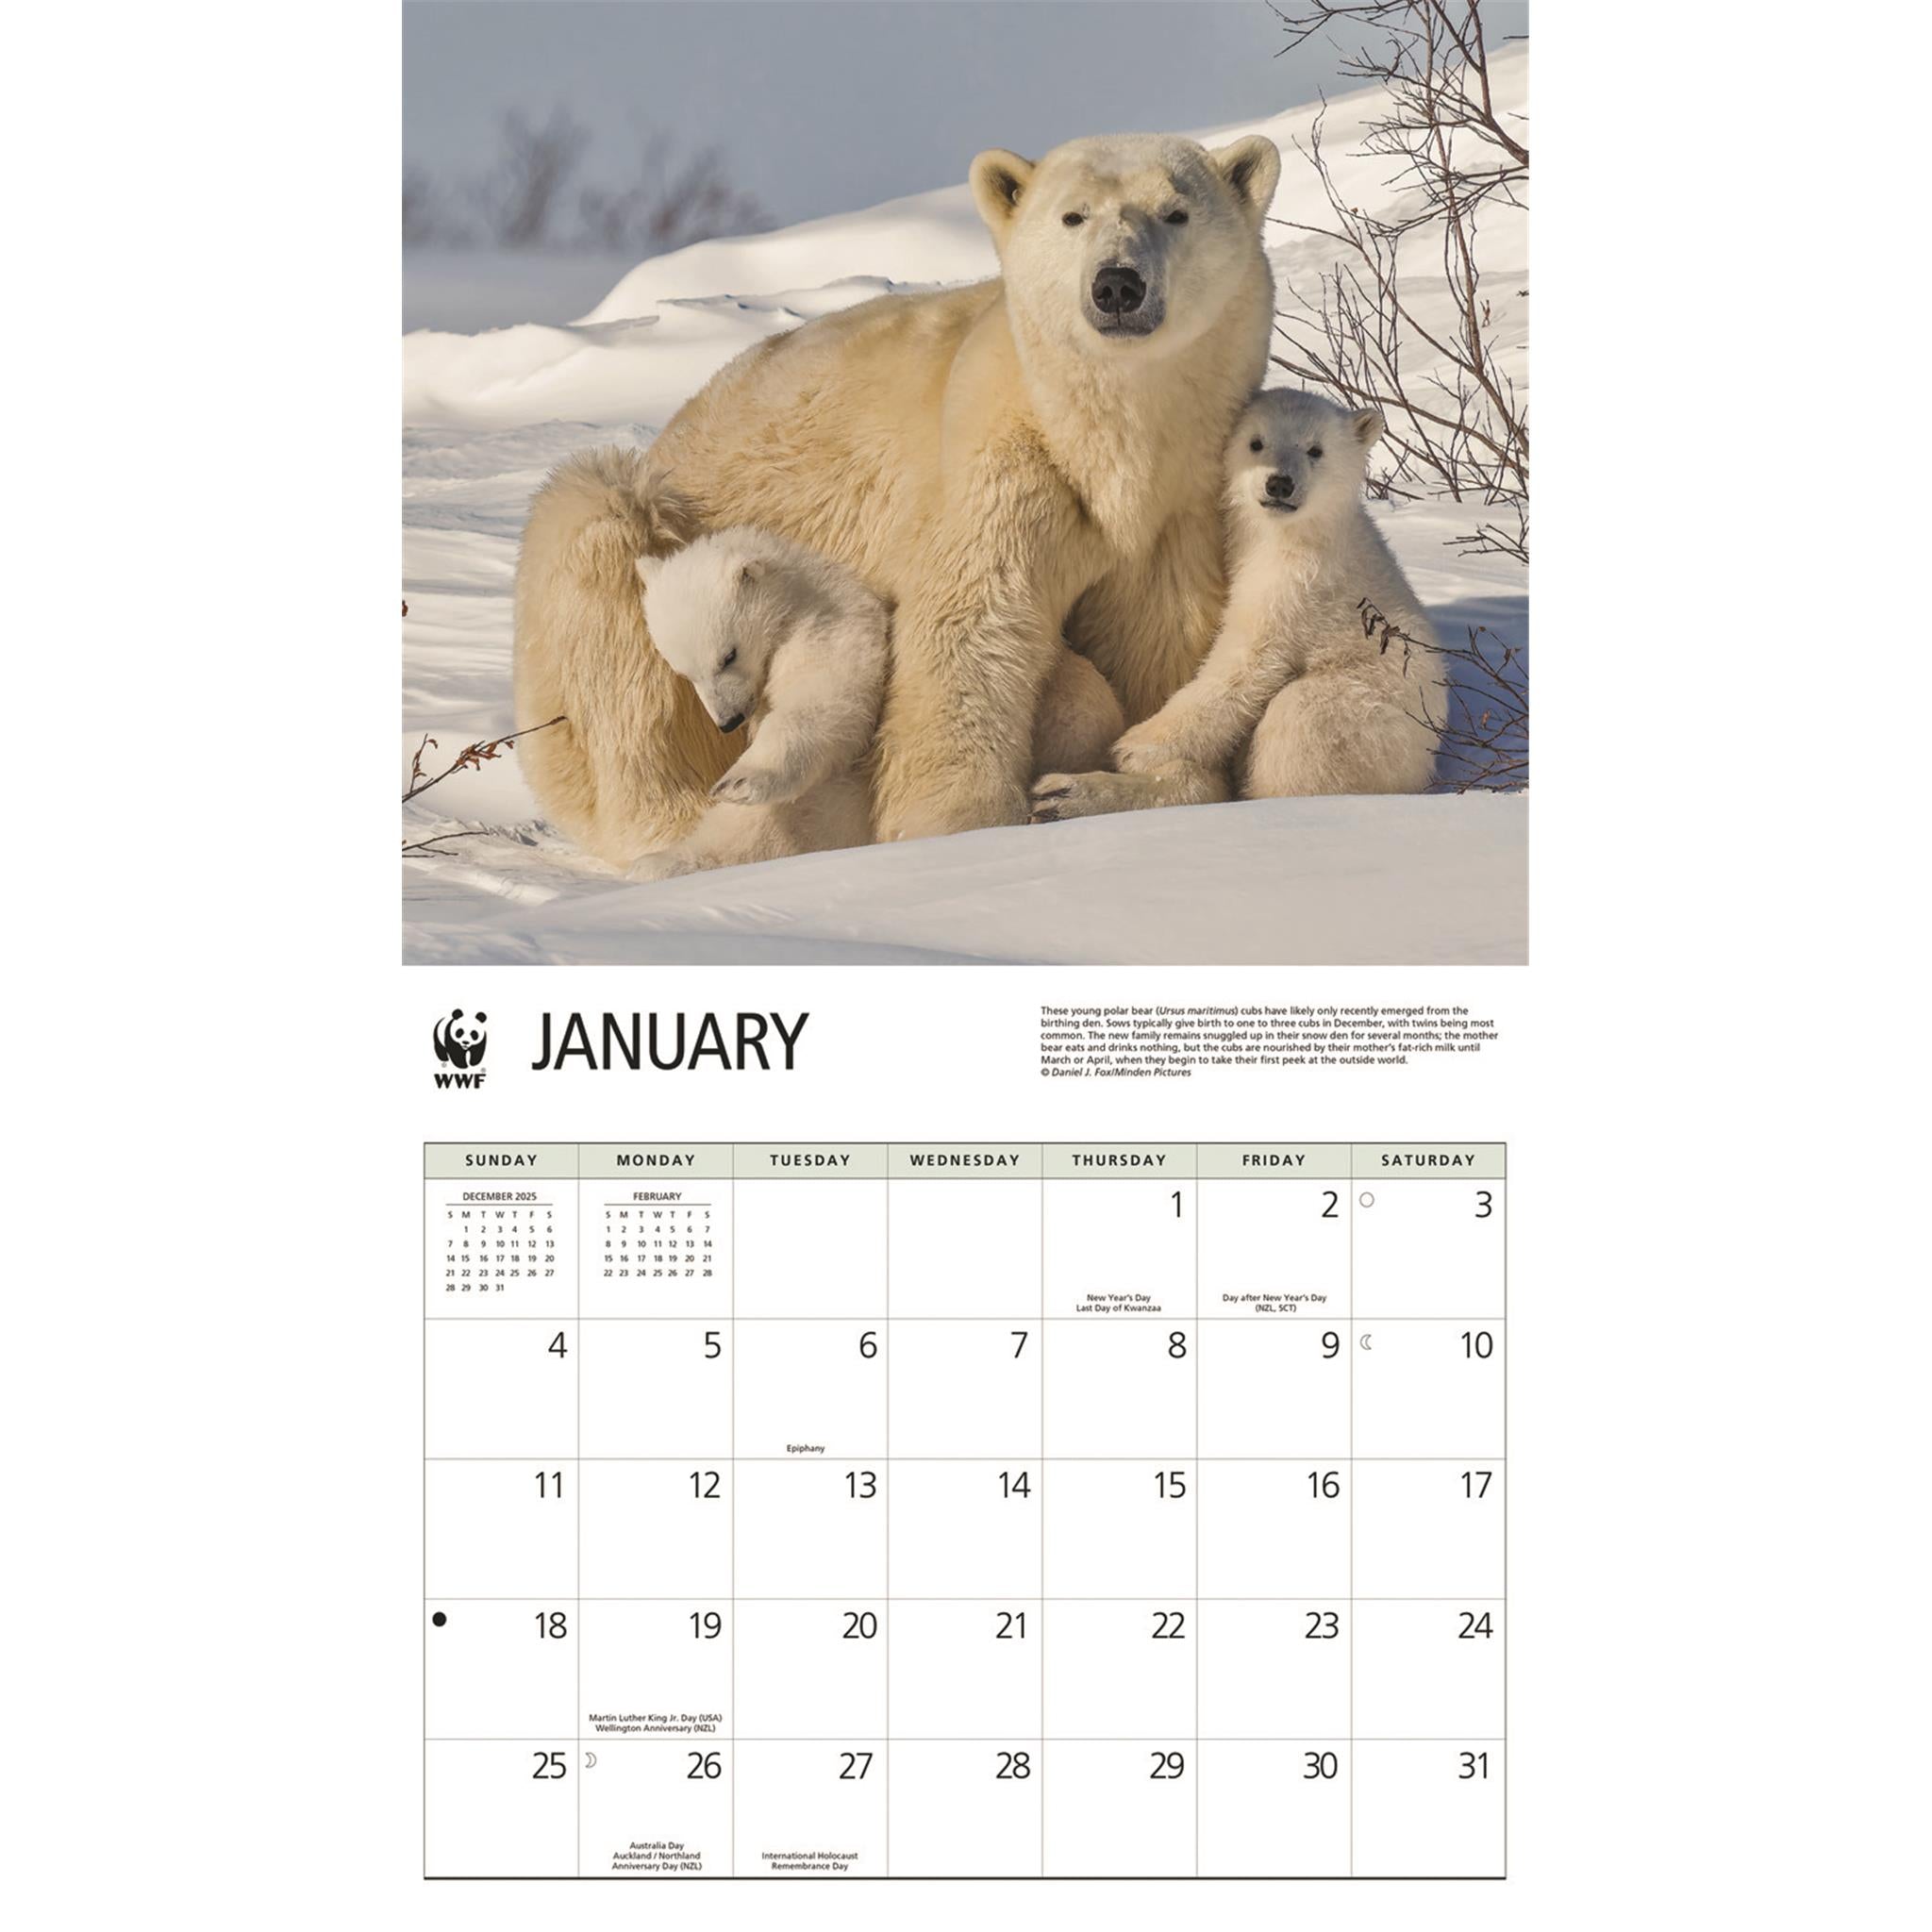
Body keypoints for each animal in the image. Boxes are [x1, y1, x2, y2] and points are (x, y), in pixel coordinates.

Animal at [624, 525, 890, 880]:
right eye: (684, 672)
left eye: (728, 656)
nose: (728, 721)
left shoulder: (829, 626)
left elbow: (820, 696)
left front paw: (739, 780)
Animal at [1029, 389, 1445, 821]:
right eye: (1256, 442)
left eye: (1315, 449)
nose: (1279, 483)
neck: (1291, 533)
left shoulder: (1302, 585)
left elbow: (1243, 663)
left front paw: (1135, 745)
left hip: (1372, 710)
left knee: (1301, 720)